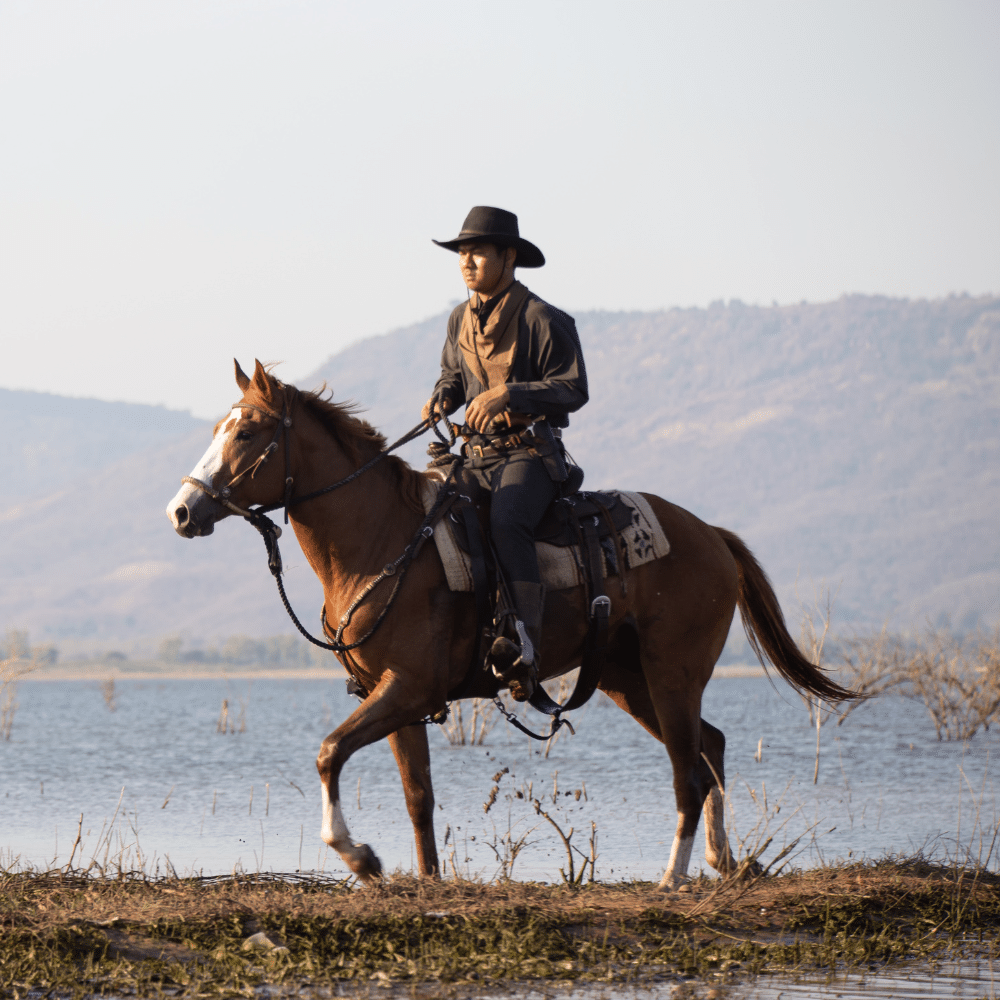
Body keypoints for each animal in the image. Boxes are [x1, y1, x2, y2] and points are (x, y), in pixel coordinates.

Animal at [166, 362, 852, 892]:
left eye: (247, 430)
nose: (182, 511)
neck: (383, 538)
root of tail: (711, 535)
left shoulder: (409, 687)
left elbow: (329, 752)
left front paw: (360, 857)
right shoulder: (393, 696)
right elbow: (418, 796)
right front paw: (427, 879)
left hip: (672, 673)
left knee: (688, 768)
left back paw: (672, 876)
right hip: (628, 679)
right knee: (710, 749)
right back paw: (724, 861)